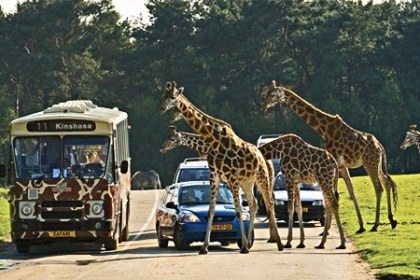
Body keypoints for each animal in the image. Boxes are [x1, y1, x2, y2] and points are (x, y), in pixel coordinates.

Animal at [159, 81, 284, 254]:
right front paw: (204, 247)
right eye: (163, 95)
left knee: (269, 203)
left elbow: (238, 210)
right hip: (248, 182)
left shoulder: (231, 177)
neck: (212, 139)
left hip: (262, 177)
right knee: (254, 204)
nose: (162, 109)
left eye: (172, 97)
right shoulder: (215, 175)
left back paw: (278, 243)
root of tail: (262, 158)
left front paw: (243, 247)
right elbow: (211, 210)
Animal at [260, 80, 398, 232]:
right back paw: (392, 220)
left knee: (379, 188)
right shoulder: (341, 166)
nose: (263, 107)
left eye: (272, 95)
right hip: (376, 164)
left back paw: (375, 225)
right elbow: (350, 192)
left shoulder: (334, 163)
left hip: (370, 163)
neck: (324, 130)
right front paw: (361, 226)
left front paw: (325, 231)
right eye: (267, 93)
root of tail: (380, 147)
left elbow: (334, 195)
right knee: (387, 183)